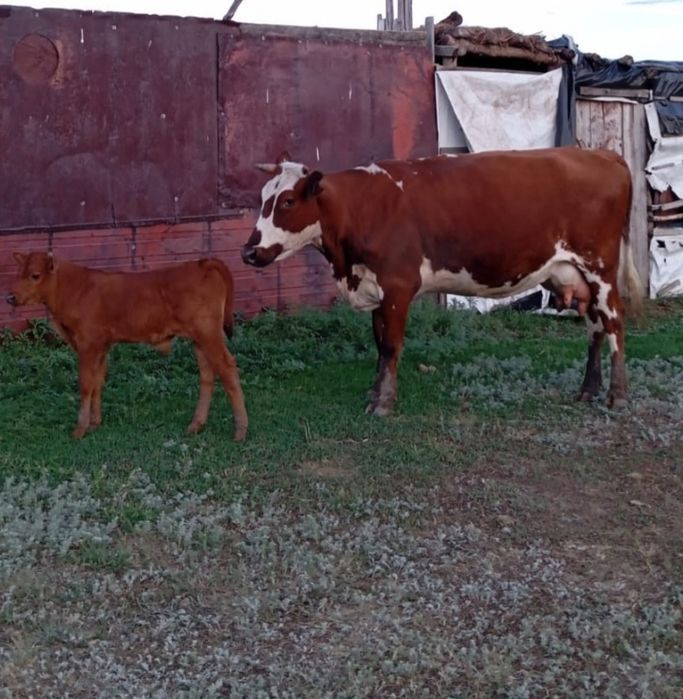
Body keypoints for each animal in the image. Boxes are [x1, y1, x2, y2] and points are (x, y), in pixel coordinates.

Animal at [6, 253, 248, 441]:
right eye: (17, 273)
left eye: (35, 275)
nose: (10, 297)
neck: (74, 289)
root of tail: (201, 263)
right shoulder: (101, 346)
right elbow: (97, 383)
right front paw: (94, 423)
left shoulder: (87, 344)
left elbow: (85, 384)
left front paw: (80, 429)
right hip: (200, 339)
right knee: (207, 374)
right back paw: (196, 424)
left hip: (208, 334)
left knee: (227, 368)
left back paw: (240, 430)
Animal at [241, 147, 644, 417]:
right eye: (262, 198)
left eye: (288, 201)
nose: (248, 251)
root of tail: (602, 153)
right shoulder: (375, 286)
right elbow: (379, 344)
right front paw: (374, 394)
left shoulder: (398, 284)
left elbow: (391, 346)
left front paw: (383, 403)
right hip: (574, 273)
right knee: (593, 328)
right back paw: (588, 390)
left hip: (600, 268)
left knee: (614, 324)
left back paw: (618, 395)